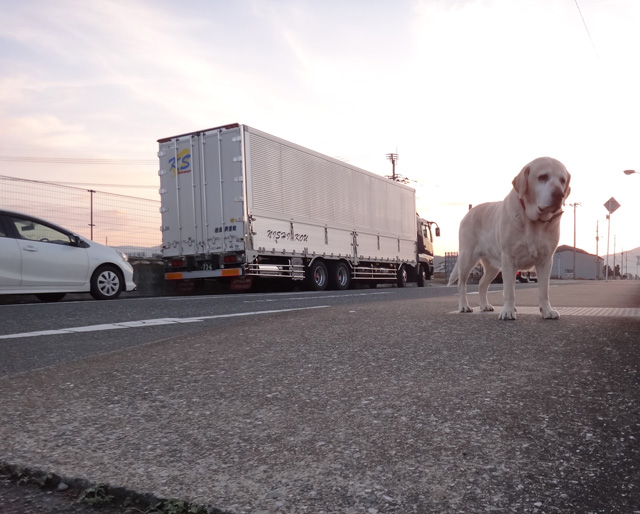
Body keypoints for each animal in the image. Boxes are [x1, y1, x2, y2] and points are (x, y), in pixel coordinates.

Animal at [450, 156, 568, 318]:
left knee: (481, 284)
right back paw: (464, 306)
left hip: (493, 267)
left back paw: (484, 305)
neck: (533, 221)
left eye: (563, 180)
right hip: (467, 258)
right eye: (542, 177)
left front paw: (547, 311)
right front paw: (507, 311)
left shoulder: (546, 260)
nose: (559, 195)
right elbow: (509, 291)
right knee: (461, 284)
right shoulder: (508, 258)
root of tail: (469, 212)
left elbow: (544, 291)